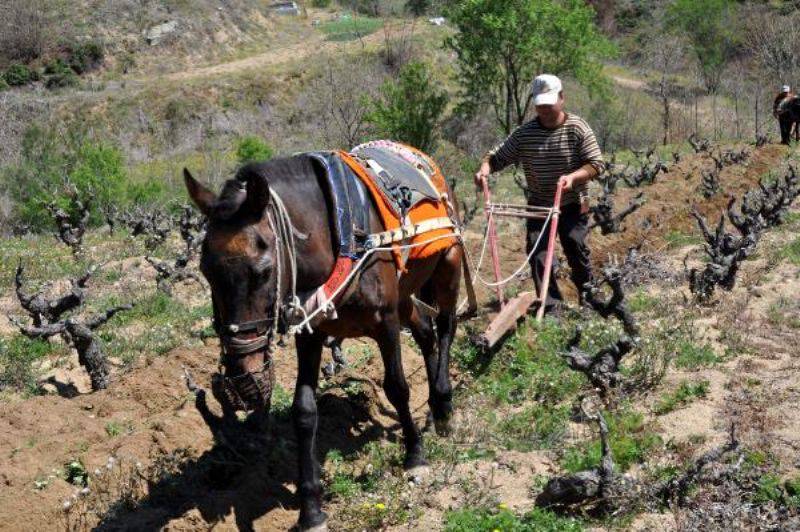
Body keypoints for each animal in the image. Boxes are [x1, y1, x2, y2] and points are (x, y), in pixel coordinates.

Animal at [184, 152, 462, 528]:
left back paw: (444, 405)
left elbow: (397, 387)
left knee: (446, 327)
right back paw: (434, 407)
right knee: (425, 332)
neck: (342, 240)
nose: (244, 379)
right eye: (206, 271)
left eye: (263, 272)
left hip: (448, 265)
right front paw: (311, 509)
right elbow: (304, 412)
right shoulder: (311, 333)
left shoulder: (386, 323)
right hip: (407, 293)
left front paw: (415, 456)